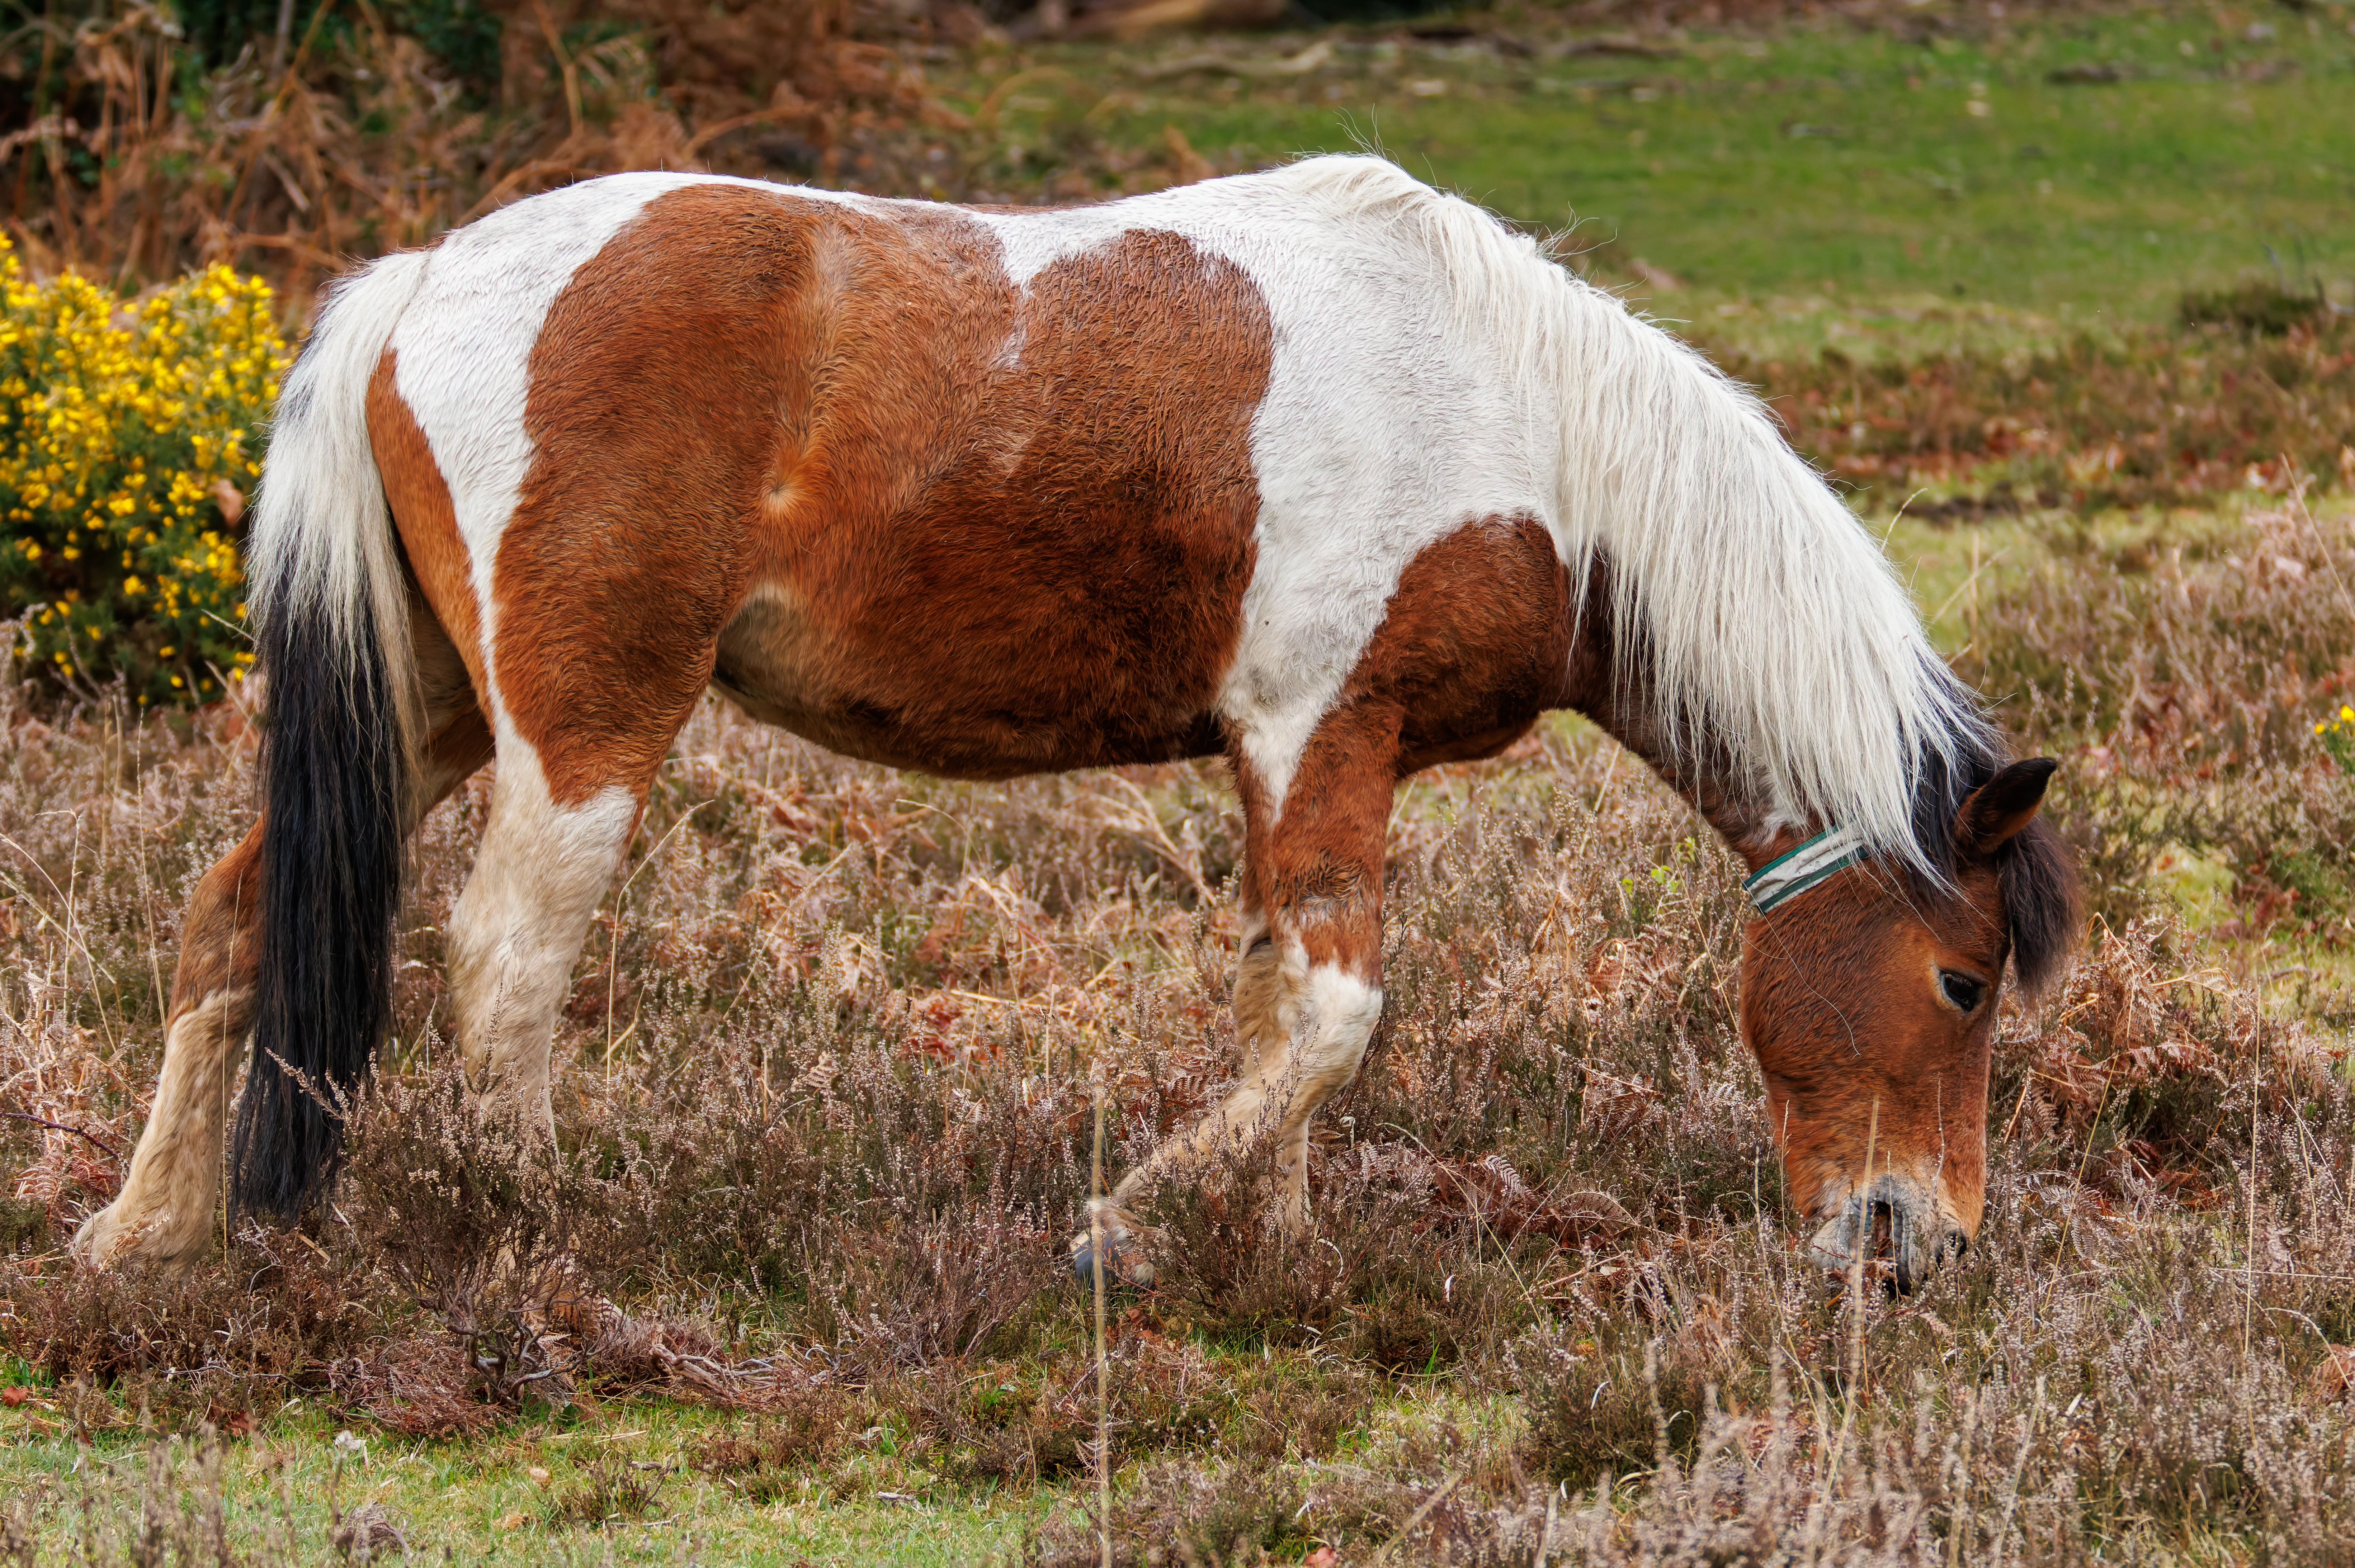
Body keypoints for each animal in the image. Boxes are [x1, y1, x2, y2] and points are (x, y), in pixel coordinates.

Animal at [70, 155, 2078, 1295]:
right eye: (1962, 980)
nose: (1916, 1248)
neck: (1520, 427)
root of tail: (411, 284)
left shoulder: (1302, 772)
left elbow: (1284, 1011)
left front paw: (1272, 1249)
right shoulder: (1317, 738)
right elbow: (1332, 1013)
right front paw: (1128, 1225)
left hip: (427, 715)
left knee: (233, 913)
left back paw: (146, 1236)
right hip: (578, 732)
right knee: (505, 958)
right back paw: (528, 1227)